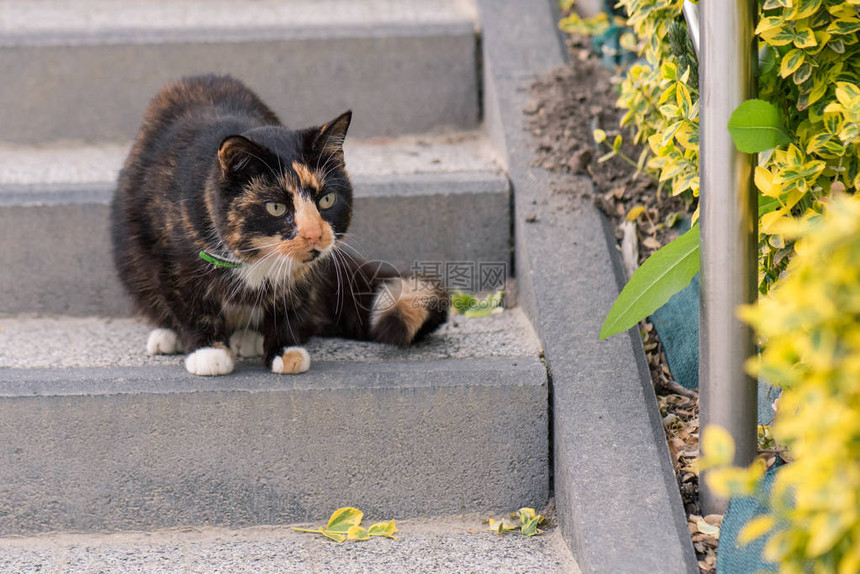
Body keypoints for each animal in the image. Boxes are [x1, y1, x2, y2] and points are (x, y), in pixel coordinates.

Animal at [113, 73, 446, 378]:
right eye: (276, 207)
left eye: (327, 199)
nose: (314, 234)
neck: (256, 256)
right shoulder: (171, 259)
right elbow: (191, 304)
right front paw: (208, 353)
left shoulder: (306, 274)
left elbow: (289, 303)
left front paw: (285, 350)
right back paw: (168, 336)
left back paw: (249, 336)